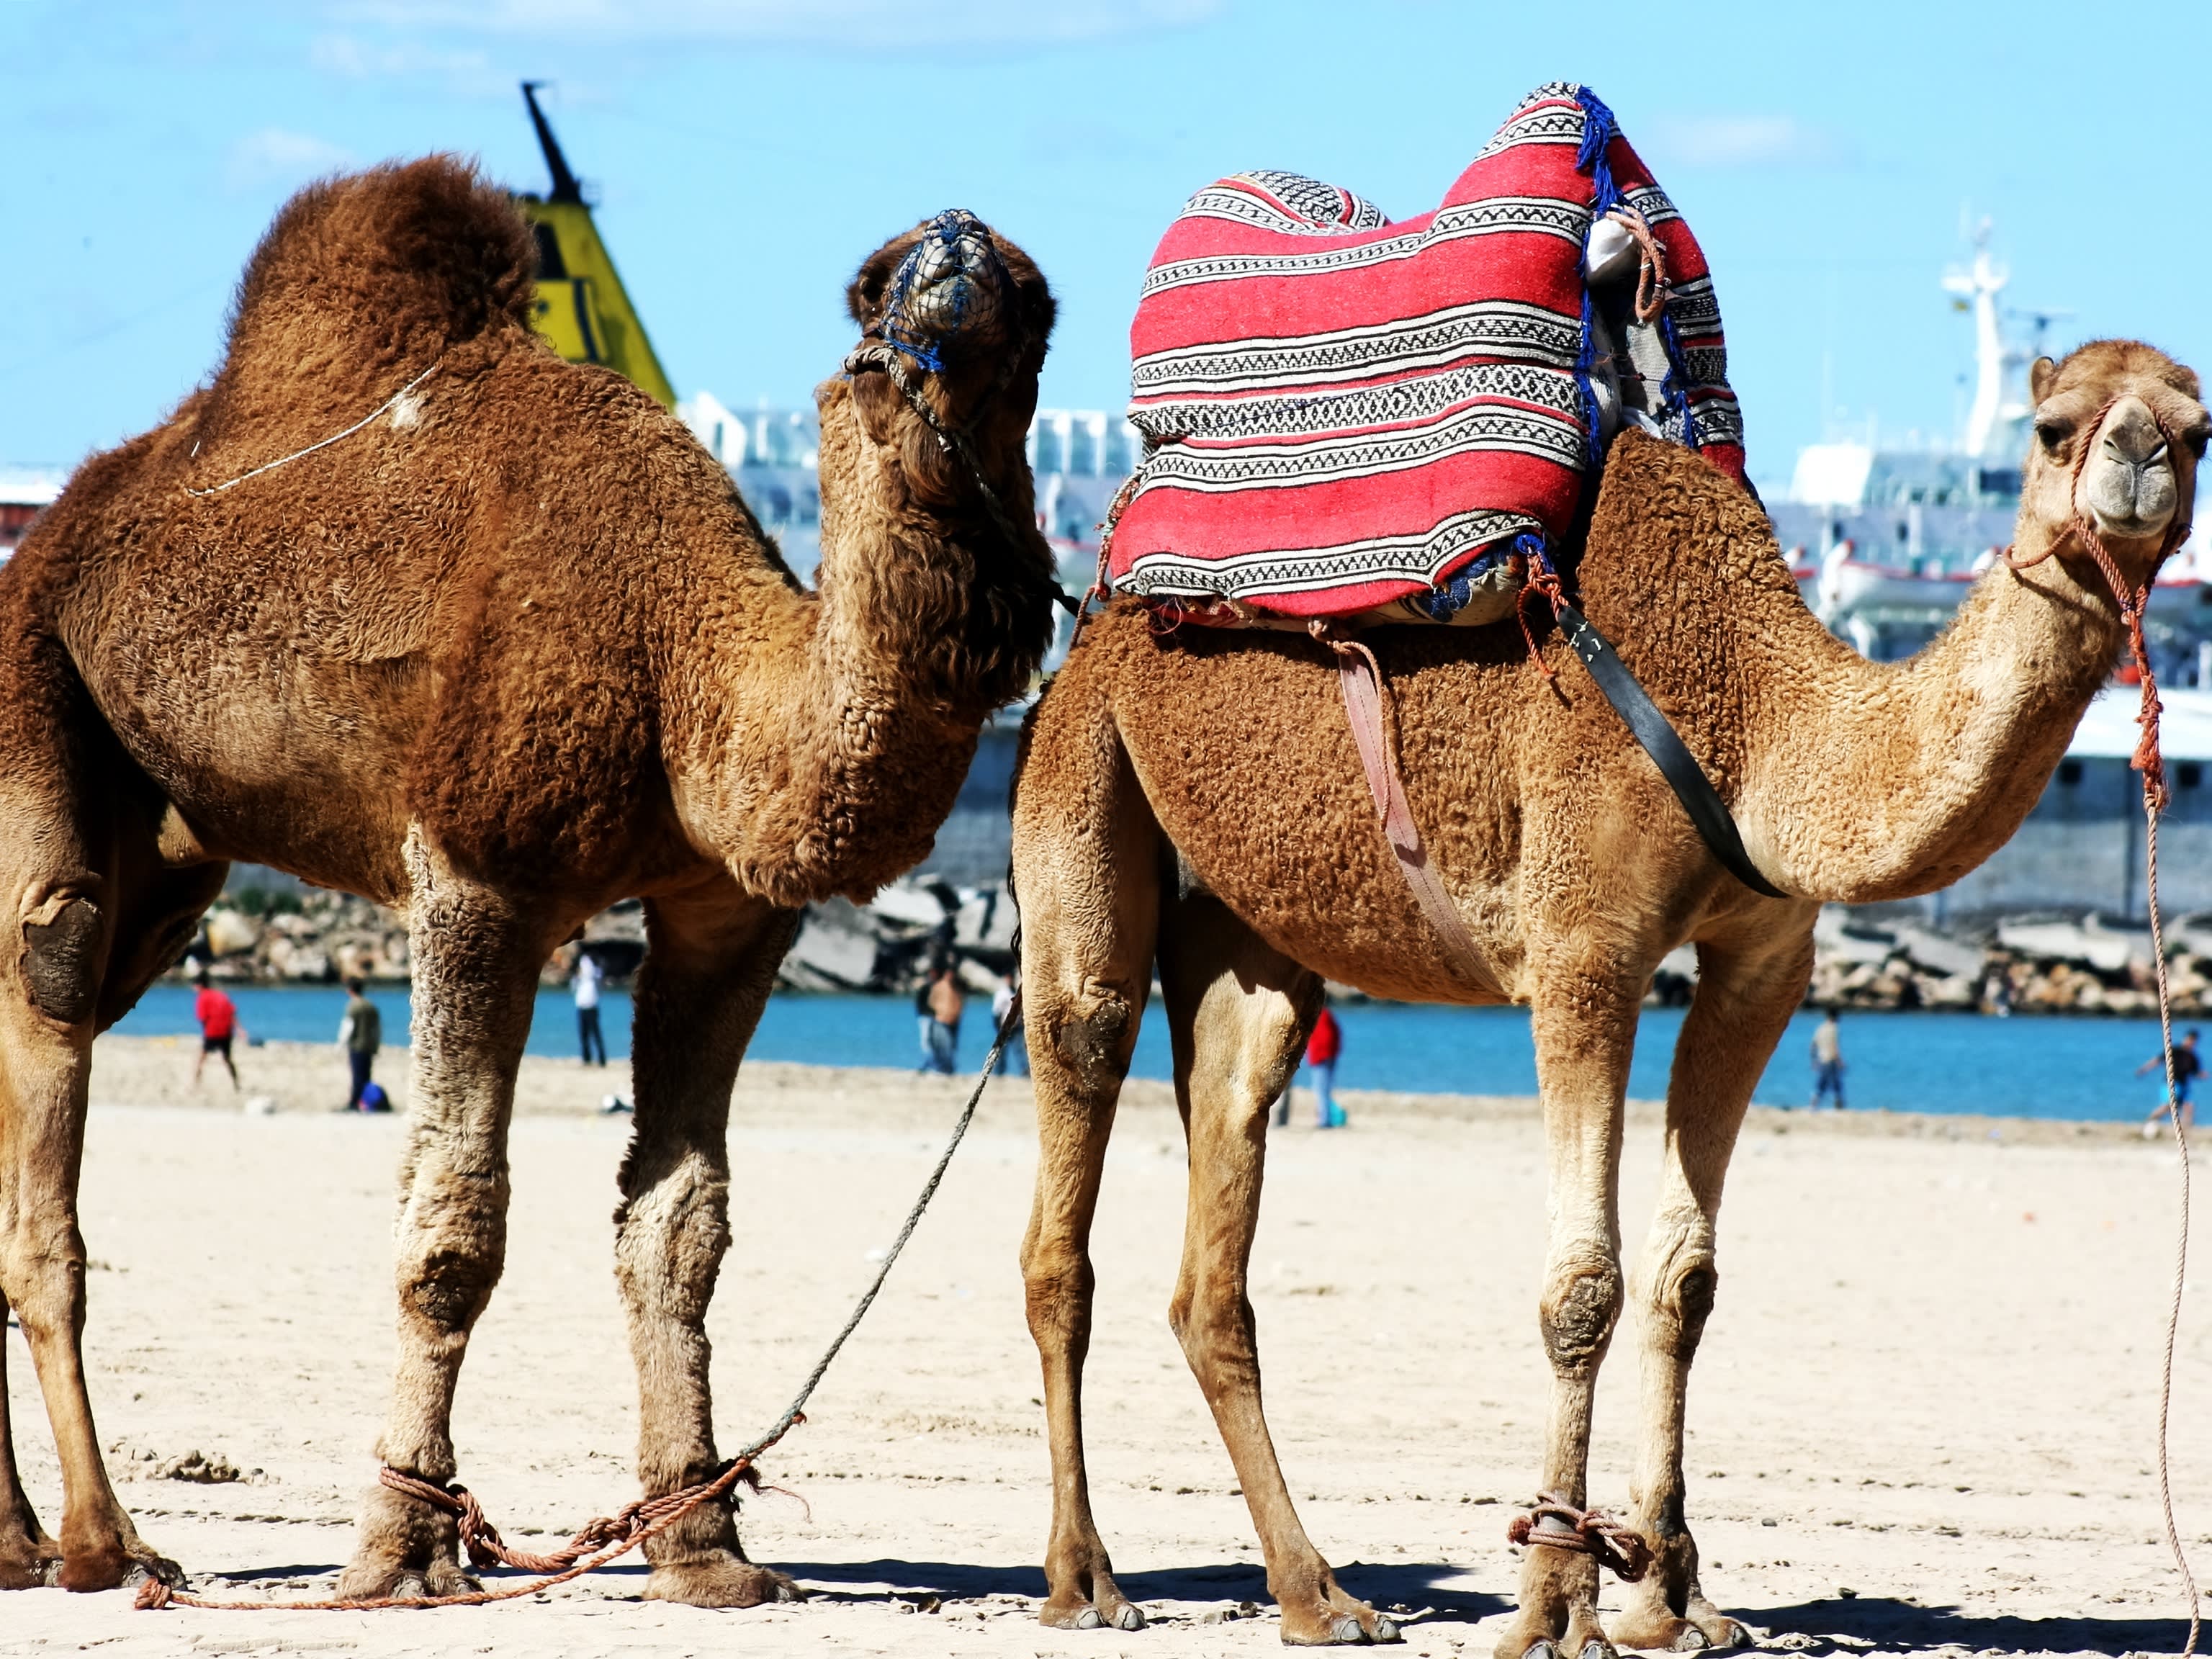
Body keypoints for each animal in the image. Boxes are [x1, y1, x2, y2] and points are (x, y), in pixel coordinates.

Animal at [0, 159, 1057, 1610]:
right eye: (868, 279)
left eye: (1039, 306)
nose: (956, 241)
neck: (676, 655)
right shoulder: (476, 875)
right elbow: (453, 1225)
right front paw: (403, 1545)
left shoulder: (729, 914)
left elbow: (677, 1224)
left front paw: (703, 1544)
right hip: (33, 687)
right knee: (50, 960)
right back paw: (107, 1545)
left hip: (170, 852)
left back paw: (21, 1540)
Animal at [1012, 345, 2212, 1654]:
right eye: (2051, 427)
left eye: (2198, 429)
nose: (2137, 458)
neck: (1756, 722)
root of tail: (1097, 616)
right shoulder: (1582, 948)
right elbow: (1583, 1284)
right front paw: (1553, 1600)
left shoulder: (1764, 964)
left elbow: (1687, 1280)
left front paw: (1672, 1596)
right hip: (1079, 781)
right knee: (1072, 1133)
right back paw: (1086, 1577)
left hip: (1255, 937)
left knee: (1218, 1221)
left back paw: (1318, 1594)